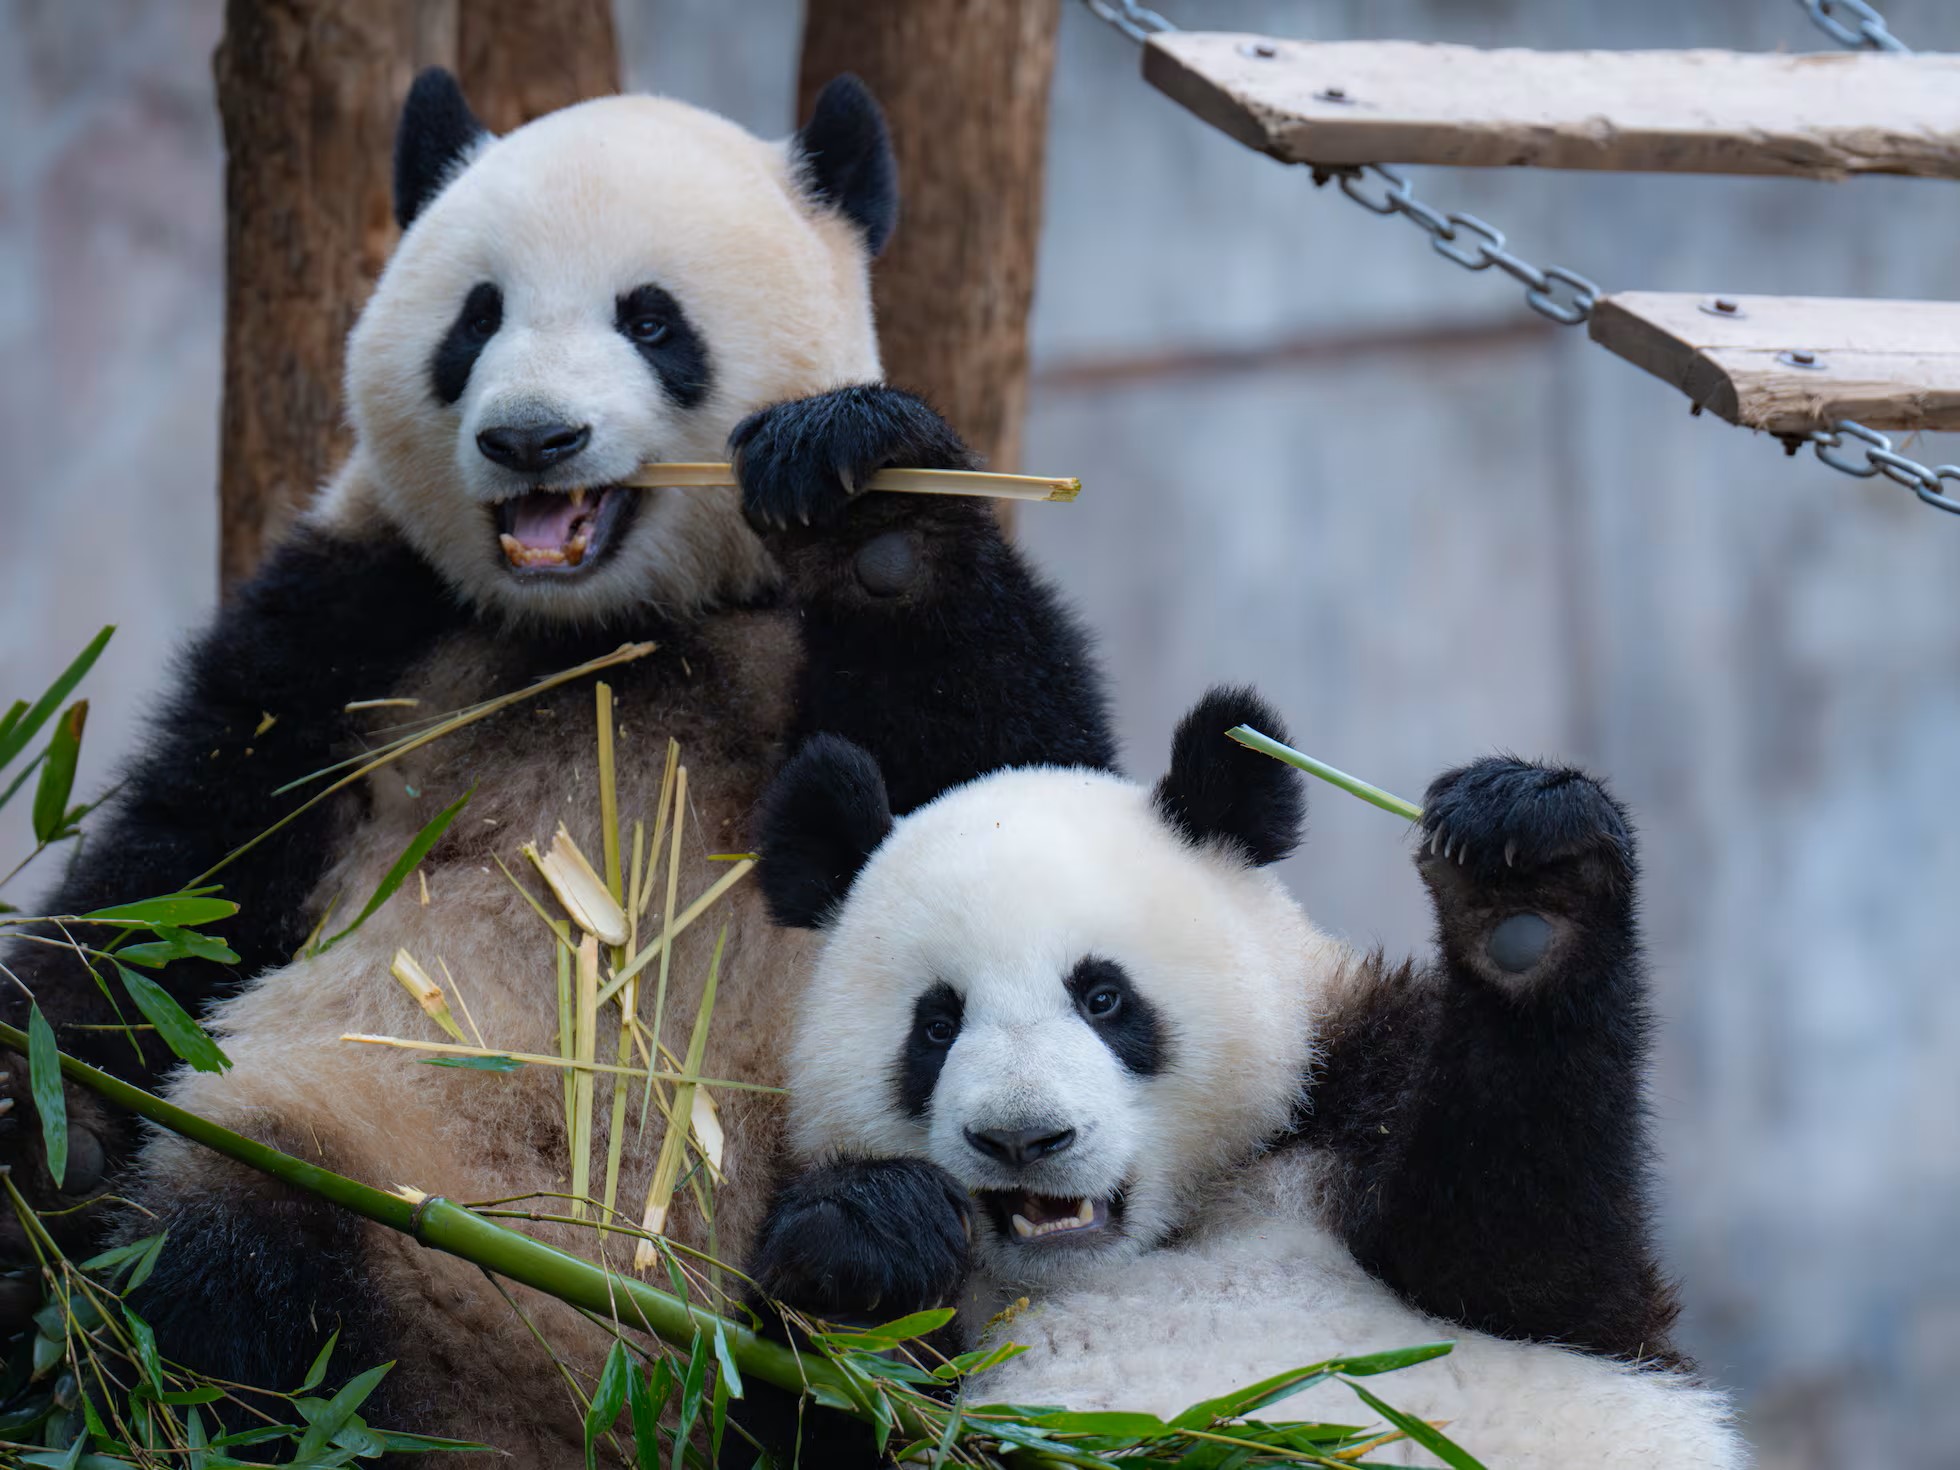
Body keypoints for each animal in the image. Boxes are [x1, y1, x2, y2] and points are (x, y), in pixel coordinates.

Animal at [0, 70, 1112, 1462]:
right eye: (475, 317)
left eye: (651, 318)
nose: (533, 439)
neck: (606, 630)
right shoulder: (353, 628)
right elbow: (180, 876)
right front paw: (45, 1115)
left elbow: (1016, 789)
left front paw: (871, 510)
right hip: (355, 1171)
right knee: (226, 1273)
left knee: (895, 1341)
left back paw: (857, 1267)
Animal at [743, 688, 1747, 1468]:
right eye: (938, 1024)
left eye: (1104, 998)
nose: (1022, 1137)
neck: (1145, 1246)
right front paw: (863, 1245)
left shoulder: (1355, 1082)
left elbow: (1520, 1256)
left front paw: (1524, 884)